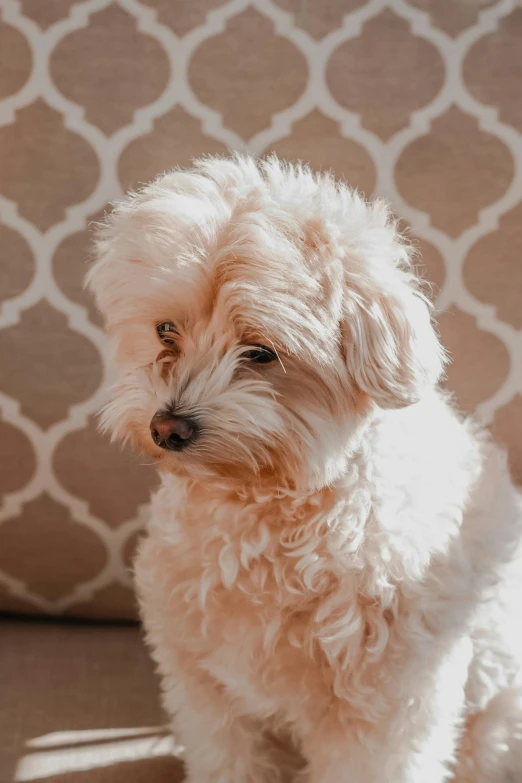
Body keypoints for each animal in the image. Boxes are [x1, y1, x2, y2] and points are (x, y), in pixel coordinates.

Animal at [87, 156, 516, 780]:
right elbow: (226, 756)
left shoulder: (386, 704)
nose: (167, 427)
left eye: (261, 352)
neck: (271, 504)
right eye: (166, 331)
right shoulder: (206, 689)